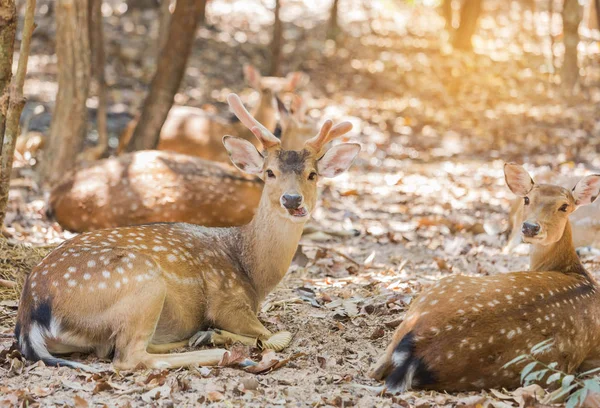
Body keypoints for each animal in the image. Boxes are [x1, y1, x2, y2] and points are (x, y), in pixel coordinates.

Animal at [370, 162, 600, 392]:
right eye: (527, 199)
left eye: (564, 206)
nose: (530, 227)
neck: (573, 270)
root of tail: (417, 354)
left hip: (439, 287)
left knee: (375, 369)